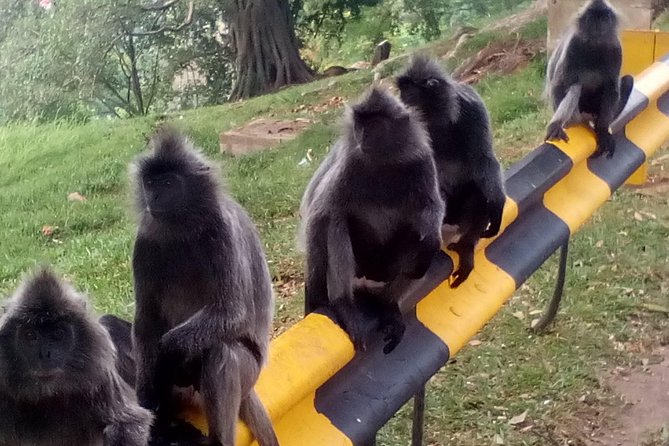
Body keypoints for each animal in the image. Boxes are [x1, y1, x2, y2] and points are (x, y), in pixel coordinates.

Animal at [0, 268, 153, 446]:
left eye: (58, 334)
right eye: (30, 335)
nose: (44, 354)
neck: (47, 396)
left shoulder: (100, 376)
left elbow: (130, 421)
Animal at [130, 127, 279, 446]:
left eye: (169, 183)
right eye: (150, 183)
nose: (154, 197)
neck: (183, 230)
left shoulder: (221, 233)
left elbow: (232, 312)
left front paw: (169, 350)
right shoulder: (144, 242)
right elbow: (147, 319)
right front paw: (147, 396)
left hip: (249, 371)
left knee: (220, 353)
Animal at [300, 87, 444, 354]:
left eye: (375, 125)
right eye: (360, 124)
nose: (363, 136)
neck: (384, 161)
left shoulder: (420, 161)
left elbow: (431, 211)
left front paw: (431, 238)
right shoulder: (351, 163)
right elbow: (320, 213)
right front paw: (315, 297)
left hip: (384, 267)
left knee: (418, 238)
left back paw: (387, 304)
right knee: (336, 221)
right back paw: (343, 304)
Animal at [396, 55, 506, 288]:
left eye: (408, 94)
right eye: (402, 93)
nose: (402, 103)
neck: (437, 120)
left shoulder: (472, 106)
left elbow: (484, 159)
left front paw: (497, 204)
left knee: (479, 188)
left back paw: (466, 247)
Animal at [545, 0, 634, 159]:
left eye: (604, 18)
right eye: (592, 19)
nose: (599, 26)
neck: (595, 46)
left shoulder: (616, 49)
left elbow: (612, 88)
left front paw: (603, 131)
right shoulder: (573, 44)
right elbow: (559, 85)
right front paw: (556, 124)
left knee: (629, 80)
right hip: (577, 114)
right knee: (575, 86)